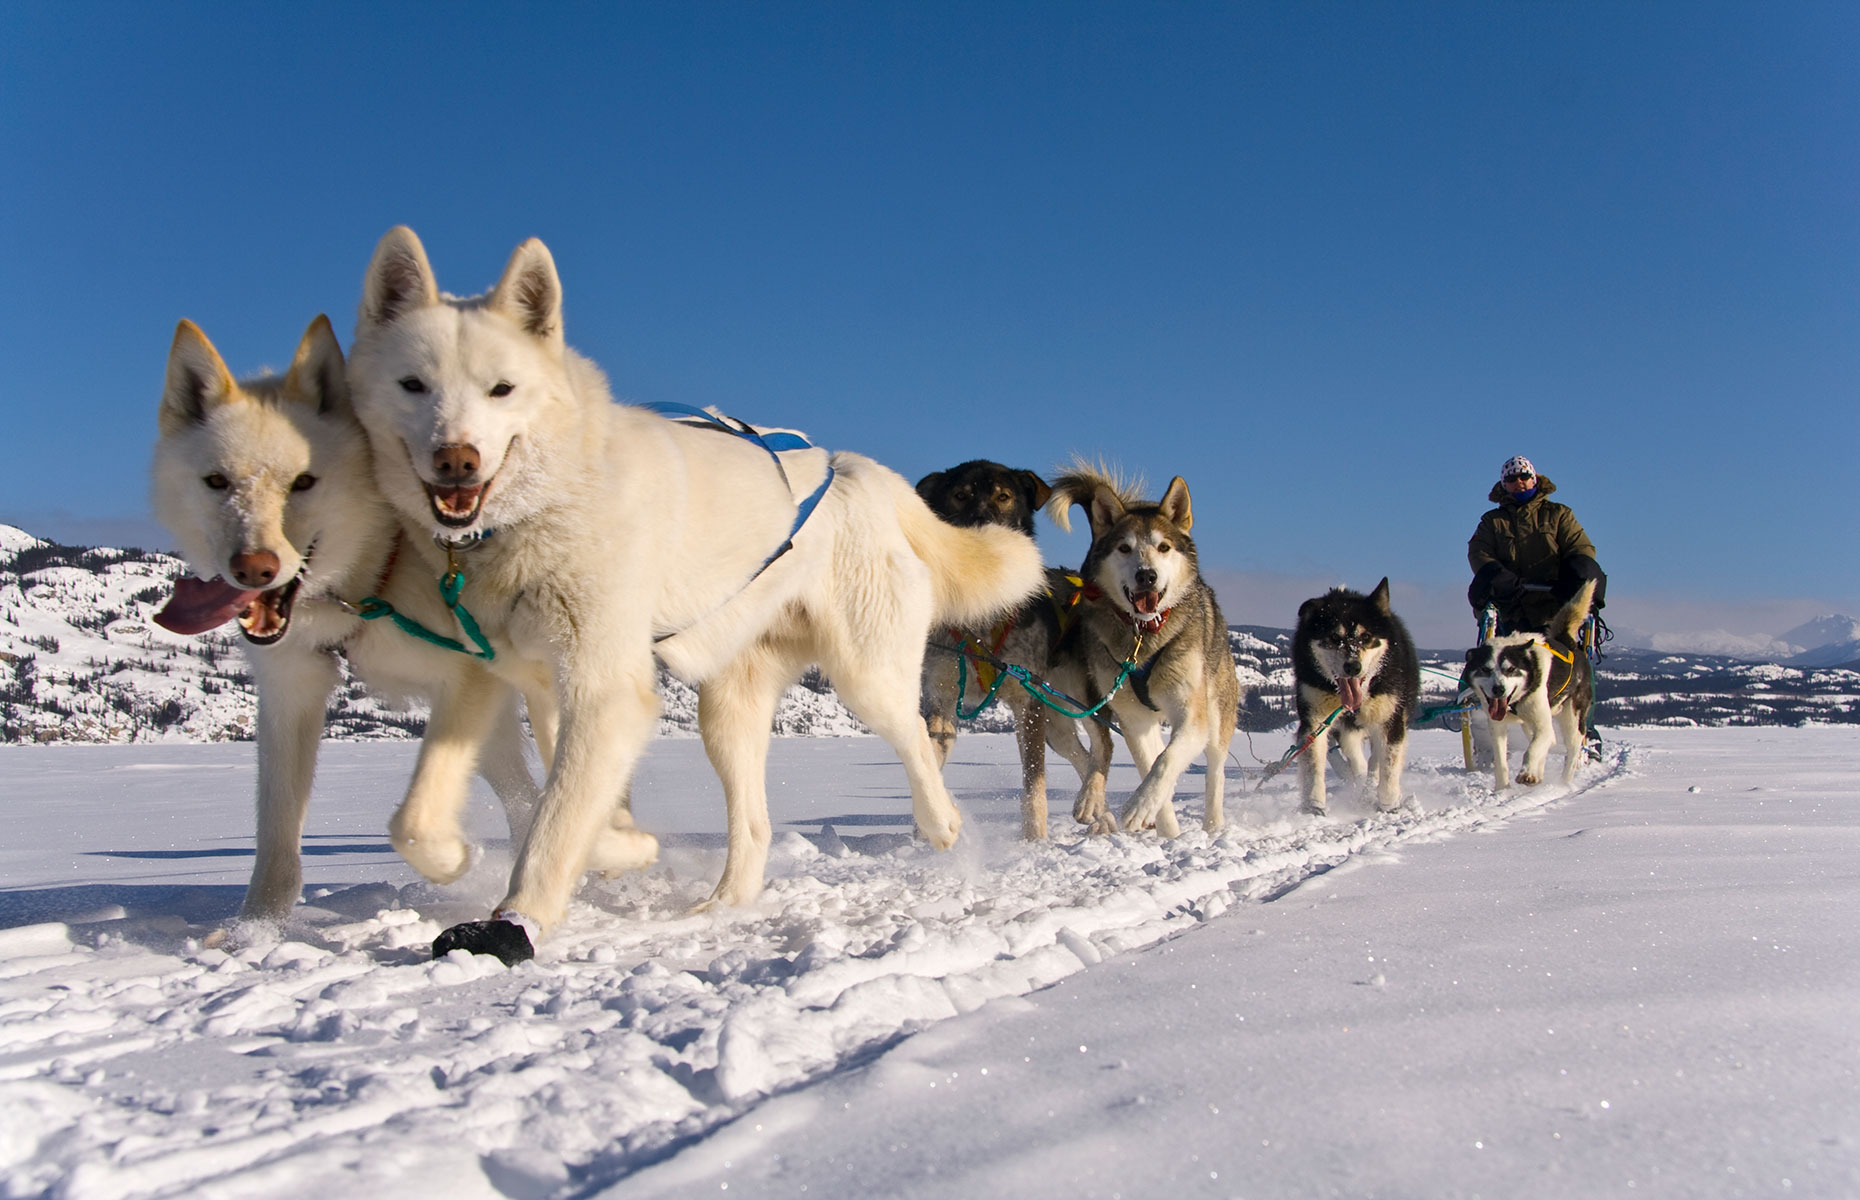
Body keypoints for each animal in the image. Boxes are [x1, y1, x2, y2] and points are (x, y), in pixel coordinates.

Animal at [147, 316, 558, 926]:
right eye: (217, 482)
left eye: (303, 482)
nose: (253, 567)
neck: (375, 571)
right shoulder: (292, 689)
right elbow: (276, 833)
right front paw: (256, 930)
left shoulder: (470, 680)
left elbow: (412, 822)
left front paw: (457, 862)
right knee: (523, 794)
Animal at [345, 222, 1049, 952]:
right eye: (413, 385)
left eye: (501, 389)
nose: (456, 459)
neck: (547, 503)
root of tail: (848, 466)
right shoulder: (536, 681)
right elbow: (481, 813)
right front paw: (615, 847)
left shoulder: (604, 688)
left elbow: (555, 821)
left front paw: (524, 913)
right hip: (727, 710)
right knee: (755, 825)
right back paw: (721, 905)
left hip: (866, 675)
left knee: (914, 733)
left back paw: (941, 823)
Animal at [1049, 463, 1235, 837]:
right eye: (1124, 548)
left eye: (1163, 547)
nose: (1146, 575)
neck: (1144, 636)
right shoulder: (1135, 721)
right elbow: (1153, 765)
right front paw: (1166, 830)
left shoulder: (1191, 715)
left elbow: (1166, 762)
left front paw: (1139, 806)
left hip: (1217, 714)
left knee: (1215, 771)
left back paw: (1213, 826)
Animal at [1458, 576, 1592, 792]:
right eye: (1485, 669)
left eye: (1511, 669)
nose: (1498, 689)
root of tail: (1568, 643)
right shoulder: (1497, 726)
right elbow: (1501, 760)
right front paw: (1502, 789)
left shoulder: (1543, 725)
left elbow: (1532, 750)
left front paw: (1527, 773)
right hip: (1530, 724)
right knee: (1548, 741)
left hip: (1571, 719)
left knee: (1571, 748)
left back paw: (1562, 784)